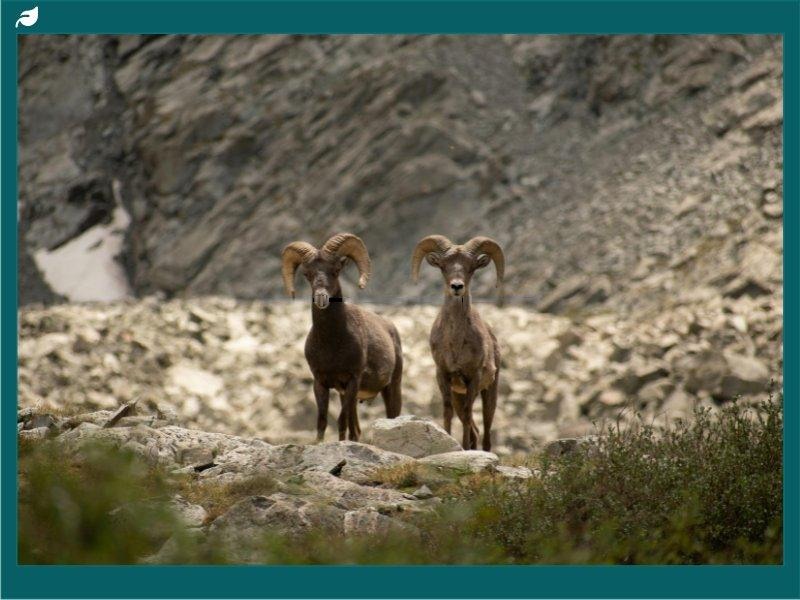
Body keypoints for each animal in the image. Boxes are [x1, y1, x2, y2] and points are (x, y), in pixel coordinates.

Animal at [281, 233, 402, 442]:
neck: (332, 344)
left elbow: (340, 421)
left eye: (336, 270)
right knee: (356, 430)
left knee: (391, 417)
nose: (321, 297)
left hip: (391, 387)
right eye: (307, 274)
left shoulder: (352, 381)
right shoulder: (321, 383)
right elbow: (322, 421)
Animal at [411, 235, 504, 451]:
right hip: (458, 395)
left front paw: (464, 449)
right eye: (444, 266)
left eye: (471, 267)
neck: (455, 344)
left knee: (486, 429)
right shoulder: (444, 376)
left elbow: (469, 413)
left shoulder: (473, 378)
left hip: (489, 392)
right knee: (474, 429)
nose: (456, 287)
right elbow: (447, 411)